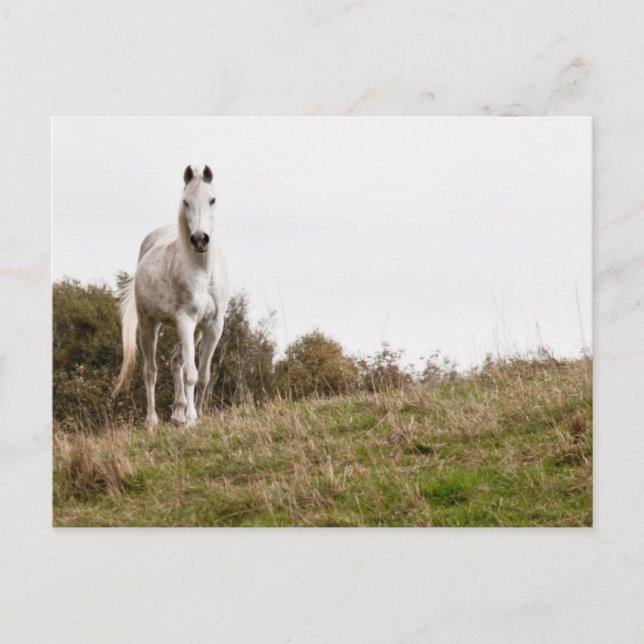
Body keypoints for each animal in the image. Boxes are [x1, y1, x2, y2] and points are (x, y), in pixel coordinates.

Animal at [114, 164, 230, 428]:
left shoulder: (213, 325)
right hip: (150, 324)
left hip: (194, 332)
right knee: (151, 370)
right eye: (185, 202)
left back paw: (178, 413)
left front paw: (198, 414)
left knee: (175, 360)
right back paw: (153, 421)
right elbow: (191, 374)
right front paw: (192, 420)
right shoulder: (185, 320)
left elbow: (204, 376)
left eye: (212, 199)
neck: (203, 272)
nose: (200, 239)